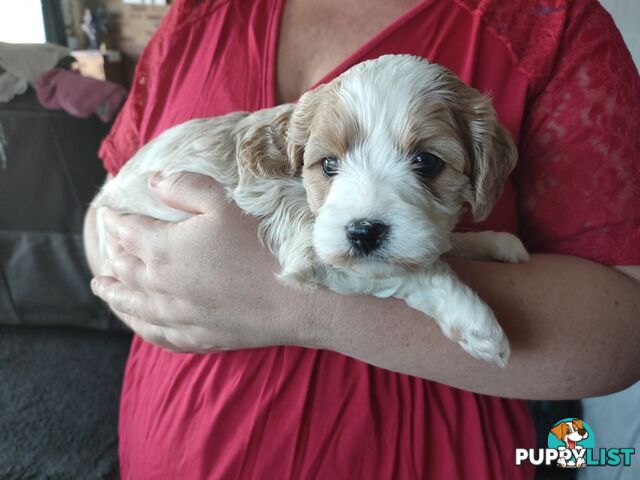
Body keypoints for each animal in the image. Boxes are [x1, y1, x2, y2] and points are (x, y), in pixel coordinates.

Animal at [92, 54, 528, 366]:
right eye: (329, 164)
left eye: (428, 162)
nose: (363, 232)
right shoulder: (310, 247)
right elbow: (417, 270)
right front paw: (473, 318)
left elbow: (434, 244)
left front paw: (492, 242)